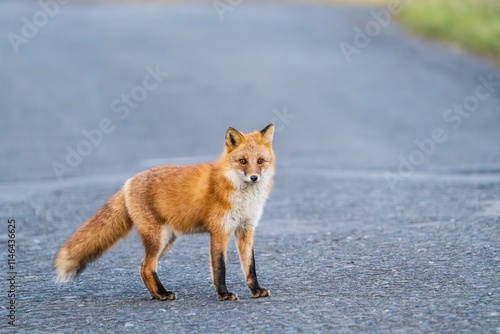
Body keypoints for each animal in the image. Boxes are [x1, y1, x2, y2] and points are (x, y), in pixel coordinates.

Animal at [53, 124, 278, 302]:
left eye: (260, 161)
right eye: (242, 161)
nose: (254, 177)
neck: (243, 196)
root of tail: (128, 182)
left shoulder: (245, 229)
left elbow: (250, 266)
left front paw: (256, 290)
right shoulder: (219, 231)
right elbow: (219, 268)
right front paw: (223, 294)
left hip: (167, 240)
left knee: (143, 267)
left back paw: (156, 294)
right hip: (158, 238)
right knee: (146, 266)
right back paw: (162, 294)